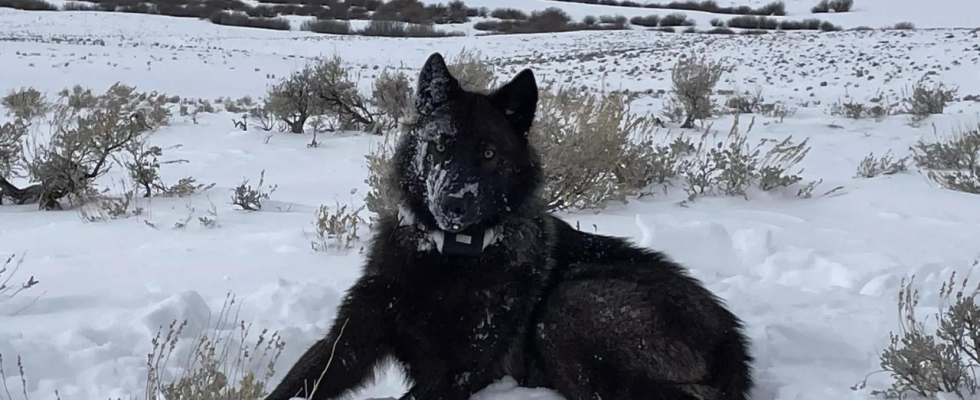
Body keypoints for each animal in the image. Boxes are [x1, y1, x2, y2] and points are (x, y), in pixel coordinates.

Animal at [264, 52, 756, 400]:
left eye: (488, 153)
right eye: (439, 145)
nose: (453, 203)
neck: (448, 260)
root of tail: (731, 342)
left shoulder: (459, 372)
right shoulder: (349, 340)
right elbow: (293, 385)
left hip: (569, 308)